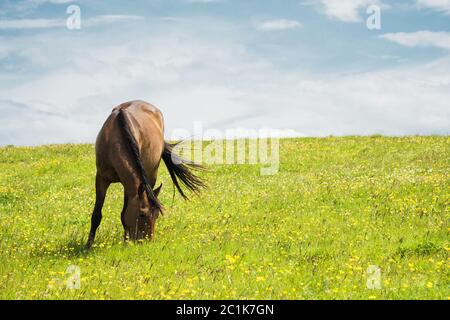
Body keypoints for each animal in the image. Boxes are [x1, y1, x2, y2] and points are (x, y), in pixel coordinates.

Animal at [85, 100, 204, 248]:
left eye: (157, 215)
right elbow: (97, 214)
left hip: (151, 175)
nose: (146, 242)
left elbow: (124, 213)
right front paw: (88, 246)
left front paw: (126, 241)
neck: (116, 136)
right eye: (142, 214)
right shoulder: (101, 178)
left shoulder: (130, 185)